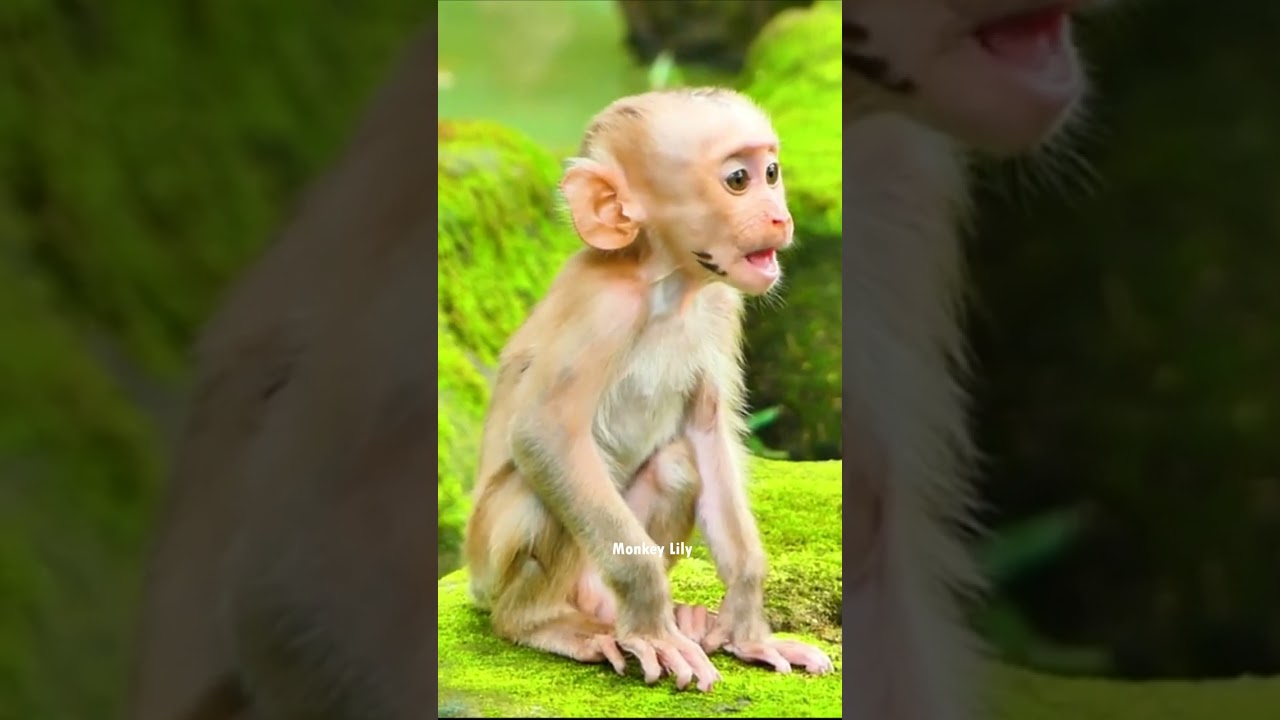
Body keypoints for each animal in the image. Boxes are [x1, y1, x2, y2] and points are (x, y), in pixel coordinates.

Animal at [462, 88, 835, 693]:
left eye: (772, 173)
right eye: (738, 179)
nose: (780, 215)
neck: (667, 285)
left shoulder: (720, 306)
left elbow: (706, 433)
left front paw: (748, 627)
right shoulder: (603, 309)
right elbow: (545, 434)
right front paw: (655, 632)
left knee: (677, 466)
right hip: (492, 562)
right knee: (538, 494)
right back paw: (543, 623)